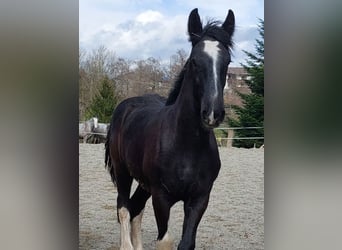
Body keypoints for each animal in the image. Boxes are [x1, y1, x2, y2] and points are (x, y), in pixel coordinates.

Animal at [105, 8, 235, 250]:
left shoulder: (199, 198)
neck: (186, 146)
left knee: (136, 209)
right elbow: (165, 240)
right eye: (194, 61)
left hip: (144, 184)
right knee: (124, 208)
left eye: (227, 61)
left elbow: (186, 243)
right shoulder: (161, 197)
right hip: (122, 172)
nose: (213, 113)